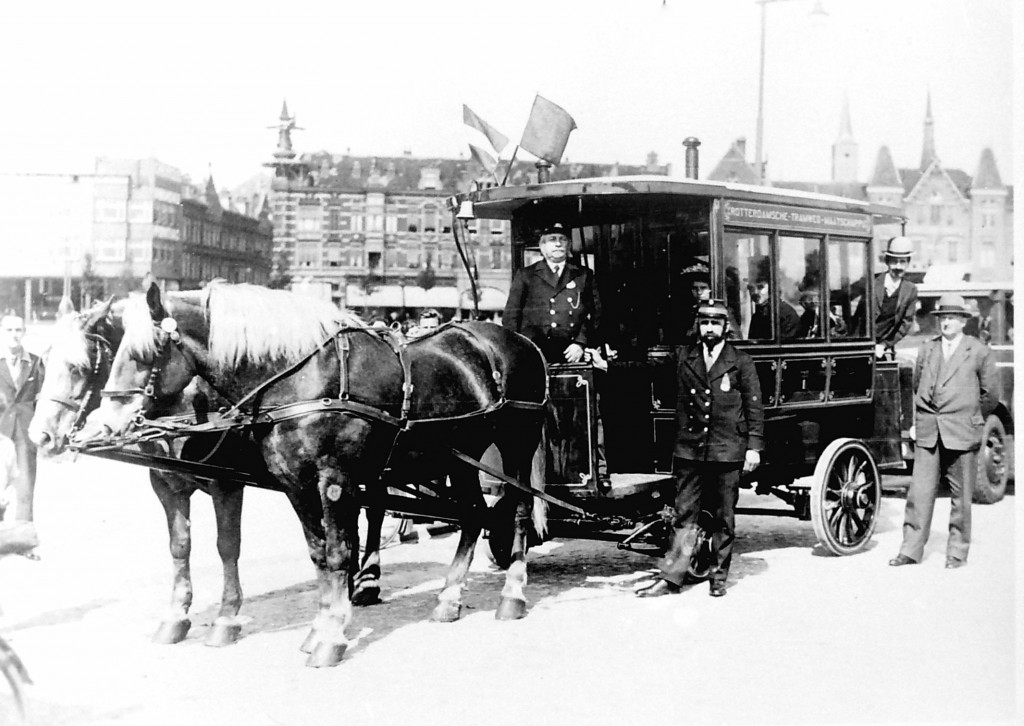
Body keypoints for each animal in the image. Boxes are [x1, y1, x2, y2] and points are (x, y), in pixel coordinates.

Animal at [74, 282, 548, 667]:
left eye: (146, 354)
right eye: (116, 350)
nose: (105, 424)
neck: (301, 380)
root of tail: (515, 340)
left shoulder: (331, 481)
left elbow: (335, 553)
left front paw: (331, 637)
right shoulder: (294, 485)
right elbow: (318, 554)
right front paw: (321, 627)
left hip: (516, 446)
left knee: (519, 511)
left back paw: (512, 594)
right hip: (459, 458)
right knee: (473, 514)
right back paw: (448, 598)